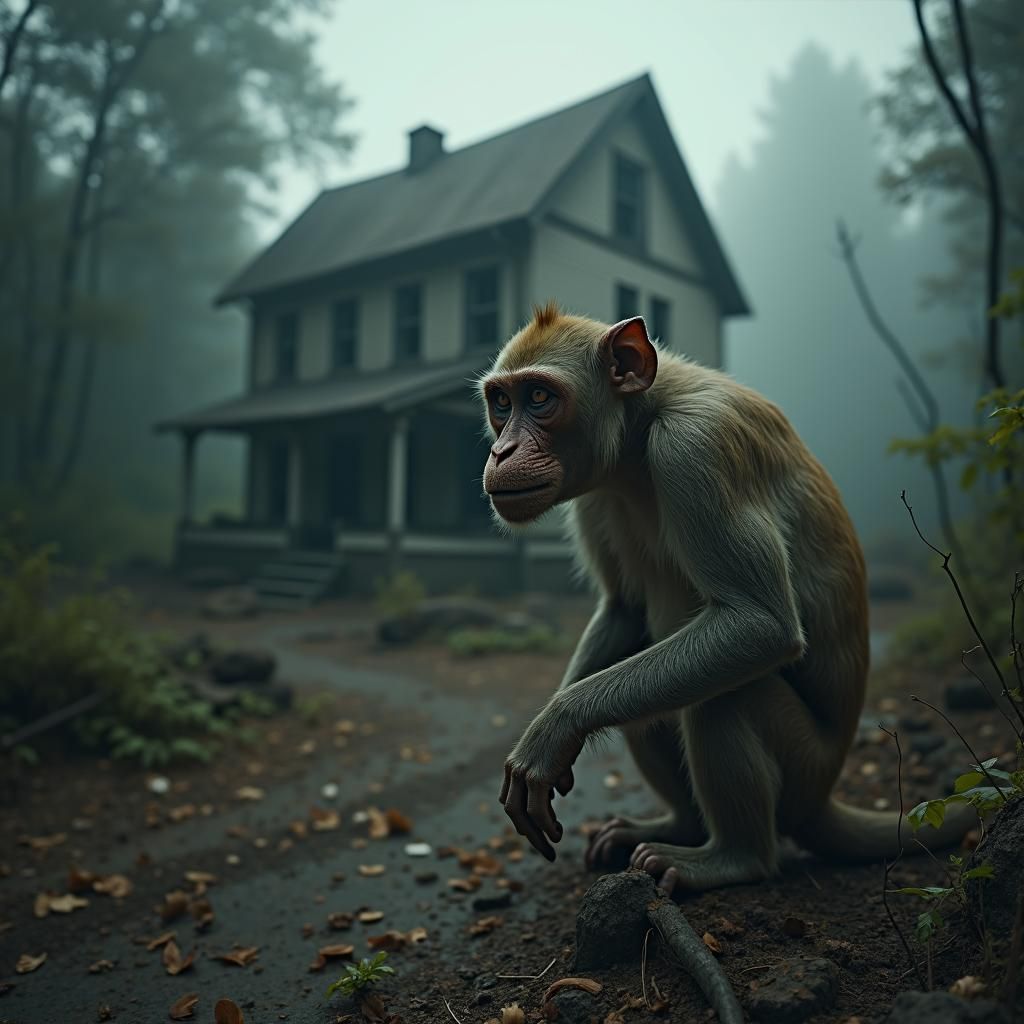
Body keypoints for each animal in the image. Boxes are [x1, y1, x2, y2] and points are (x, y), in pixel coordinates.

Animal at [476, 301, 970, 893]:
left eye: (539, 398)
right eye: (502, 403)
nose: (501, 450)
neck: (641, 427)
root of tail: (824, 793)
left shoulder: (696, 448)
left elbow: (759, 625)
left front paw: (554, 726)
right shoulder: (596, 490)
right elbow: (624, 610)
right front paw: (557, 729)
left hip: (804, 764)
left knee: (724, 695)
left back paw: (733, 858)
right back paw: (680, 826)